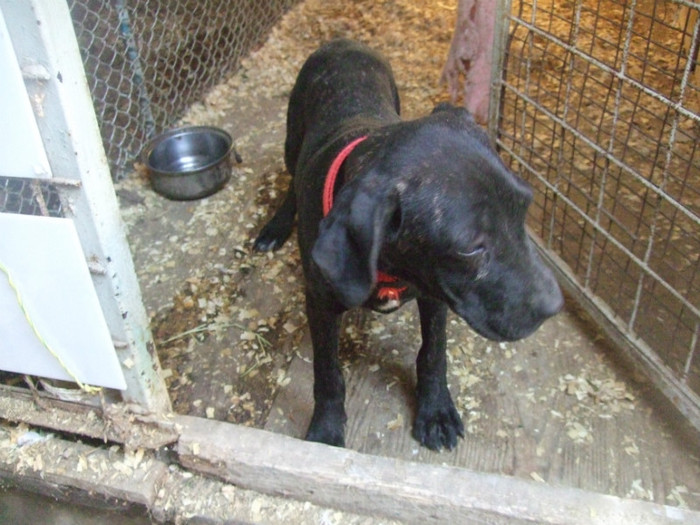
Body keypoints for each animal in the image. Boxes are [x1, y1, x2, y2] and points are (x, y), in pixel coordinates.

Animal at [253, 40, 564, 450]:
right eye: (470, 248)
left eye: (525, 205)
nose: (555, 305)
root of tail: (342, 41)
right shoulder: (319, 303)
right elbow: (327, 372)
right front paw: (326, 429)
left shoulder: (435, 294)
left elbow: (433, 353)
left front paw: (436, 411)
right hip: (293, 138)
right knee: (290, 176)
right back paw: (275, 225)